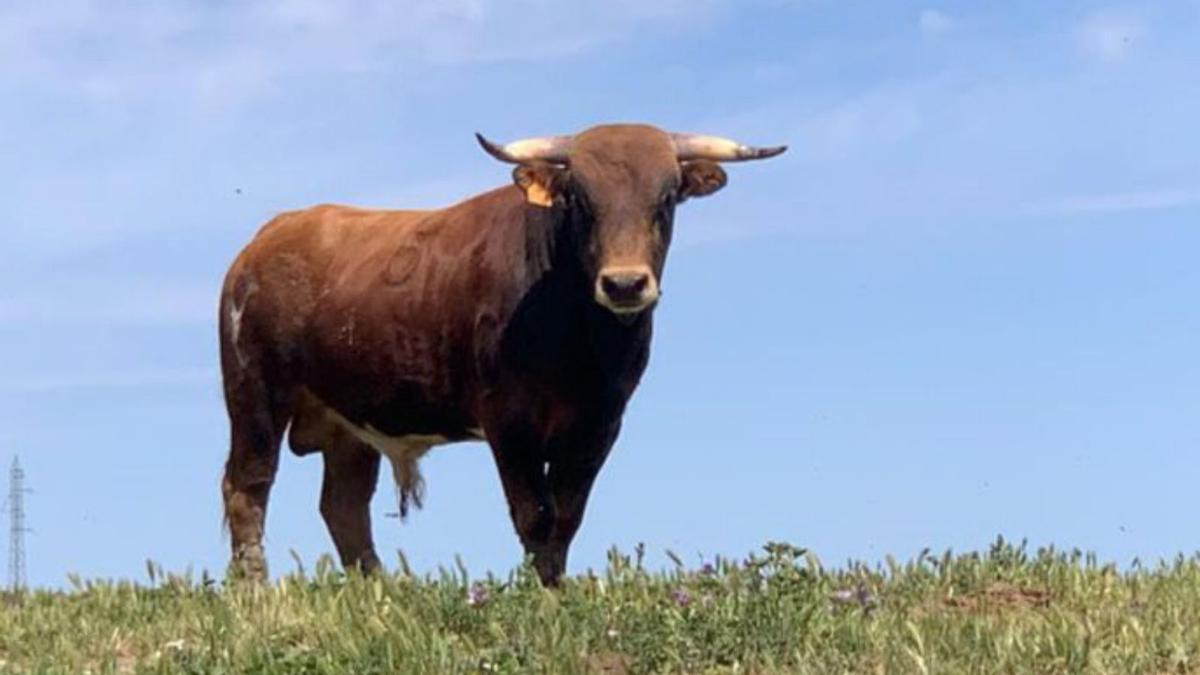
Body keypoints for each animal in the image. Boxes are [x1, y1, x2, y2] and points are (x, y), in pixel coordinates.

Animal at [219, 121, 782, 583]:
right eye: (579, 200)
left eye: (666, 199)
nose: (625, 284)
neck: (580, 338)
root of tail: (261, 243)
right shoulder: (510, 421)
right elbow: (535, 513)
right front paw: (541, 594)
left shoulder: (599, 424)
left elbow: (567, 514)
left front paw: (556, 587)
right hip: (255, 395)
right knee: (248, 486)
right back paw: (255, 589)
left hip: (350, 422)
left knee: (344, 505)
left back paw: (379, 591)